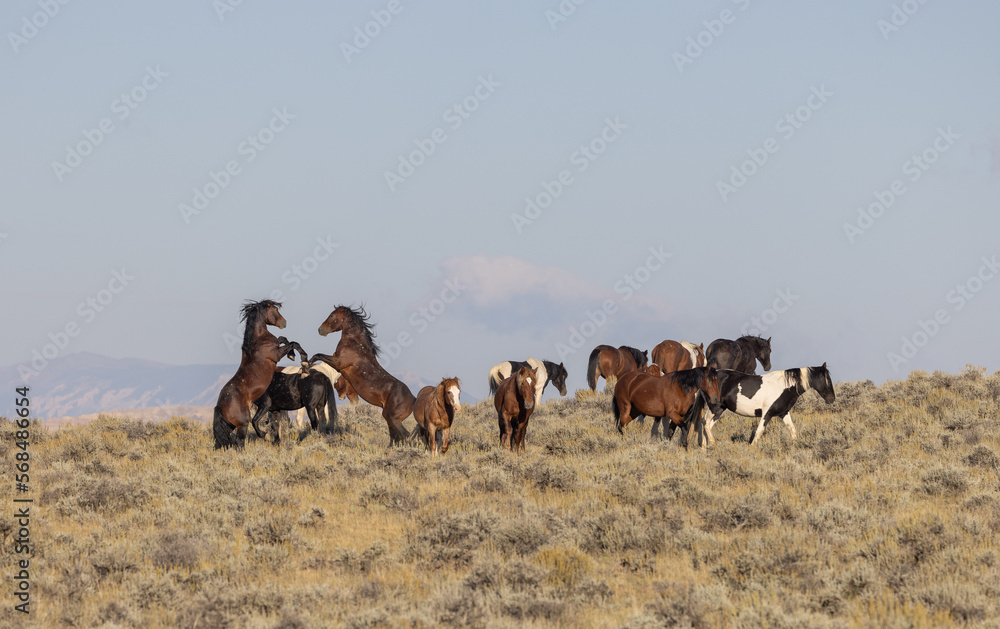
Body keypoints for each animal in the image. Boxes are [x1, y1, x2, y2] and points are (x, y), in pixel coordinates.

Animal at [212, 302, 302, 448]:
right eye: (275, 309)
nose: (284, 322)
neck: (258, 341)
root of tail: (220, 405)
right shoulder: (277, 355)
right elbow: (292, 343)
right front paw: (293, 355)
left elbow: (282, 338)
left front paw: (292, 354)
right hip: (243, 424)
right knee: (240, 442)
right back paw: (263, 435)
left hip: (230, 425)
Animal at [312, 306, 414, 444]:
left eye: (332, 315)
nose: (320, 330)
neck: (355, 344)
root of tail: (413, 399)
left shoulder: (338, 363)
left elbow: (317, 355)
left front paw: (305, 364)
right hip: (390, 419)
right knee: (396, 437)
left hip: (392, 418)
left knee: (405, 435)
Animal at [704, 360, 836, 444]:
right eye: (827, 379)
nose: (832, 399)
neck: (784, 386)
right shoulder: (767, 413)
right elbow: (758, 432)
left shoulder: (783, 413)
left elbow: (792, 430)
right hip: (714, 408)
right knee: (705, 423)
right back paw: (712, 443)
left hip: (719, 410)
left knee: (707, 426)